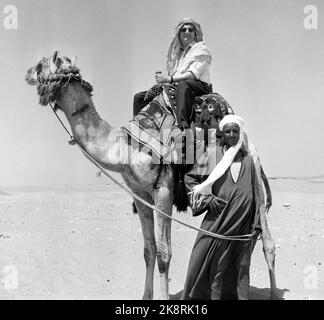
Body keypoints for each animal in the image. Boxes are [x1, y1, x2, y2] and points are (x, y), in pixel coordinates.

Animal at [26, 50, 278, 300]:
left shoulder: (164, 191)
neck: (124, 148)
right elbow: (149, 249)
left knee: (267, 242)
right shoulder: (140, 195)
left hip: (254, 174)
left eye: (40, 65)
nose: (27, 73)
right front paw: (145, 296)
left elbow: (164, 254)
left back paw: (274, 293)